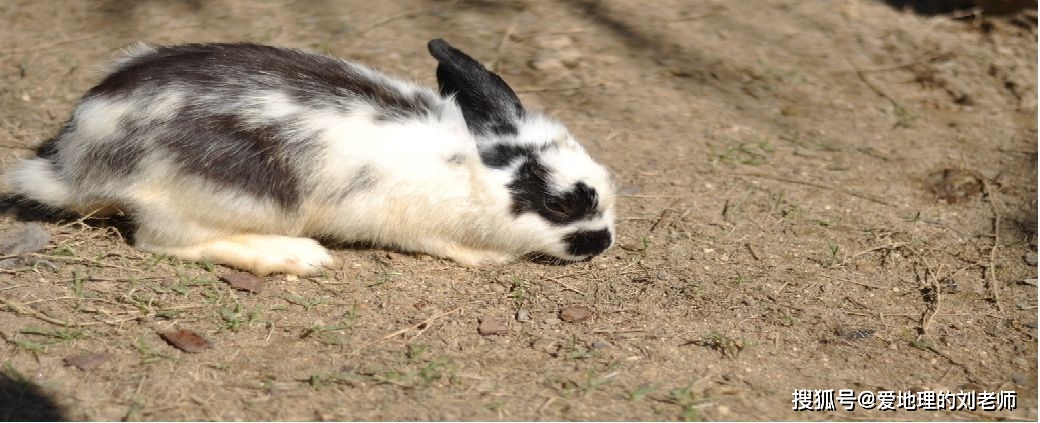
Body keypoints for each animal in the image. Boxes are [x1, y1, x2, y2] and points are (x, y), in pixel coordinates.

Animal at [4, 39, 611, 276]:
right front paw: (489, 257)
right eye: (560, 207)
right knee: (164, 241)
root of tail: (77, 160)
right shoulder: (418, 225)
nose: (602, 242)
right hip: (223, 197)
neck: (472, 170)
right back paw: (296, 256)